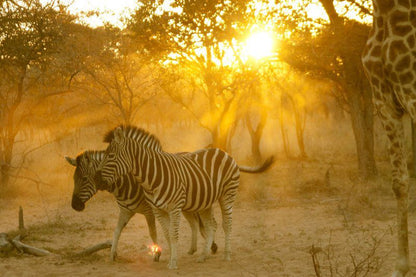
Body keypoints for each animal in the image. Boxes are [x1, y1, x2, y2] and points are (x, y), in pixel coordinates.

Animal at [65, 150, 218, 260]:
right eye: (73, 179)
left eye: (84, 178)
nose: (74, 206)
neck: (125, 184)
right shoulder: (125, 211)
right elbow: (117, 231)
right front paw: (113, 253)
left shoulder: (149, 211)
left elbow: (152, 232)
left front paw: (157, 253)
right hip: (188, 206)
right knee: (195, 224)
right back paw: (196, 249)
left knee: (209, 223)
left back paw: (211, 246)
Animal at [94, 124, 272, 268]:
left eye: (110, 156)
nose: (97, 179)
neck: (151, 177)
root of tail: (224, 152)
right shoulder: (158, 210)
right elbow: (166, 234)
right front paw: (170, 257)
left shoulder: (174, 208)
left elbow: (173, 234)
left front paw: (173, 263)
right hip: (205, 202)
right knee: (211, 225)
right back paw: (203, 255)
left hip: (227, 195)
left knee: (226, 224)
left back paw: (226, 255)